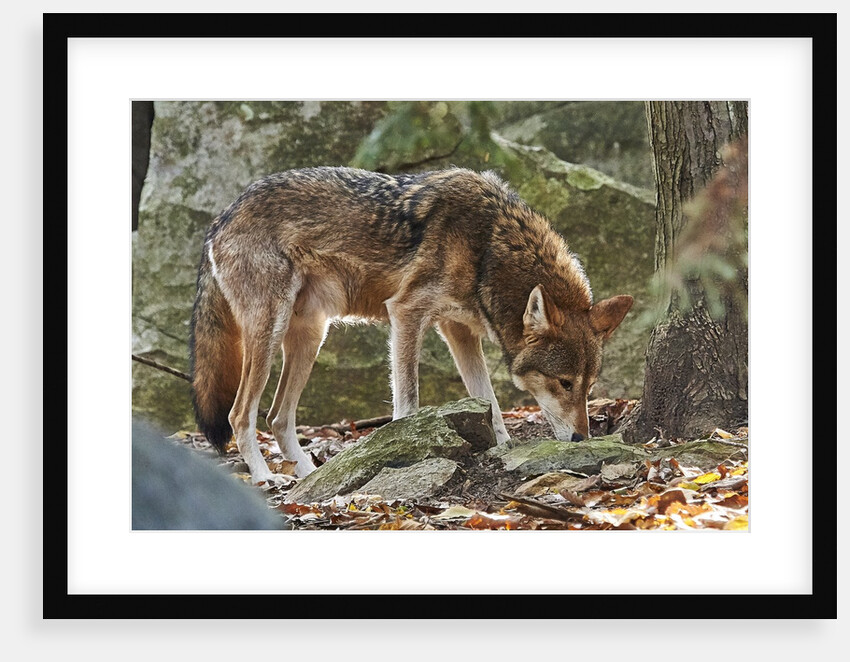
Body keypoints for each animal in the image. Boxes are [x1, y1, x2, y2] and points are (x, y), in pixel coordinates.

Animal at [190, 167, 633, 484]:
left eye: (589, 387)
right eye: (564, 383)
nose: (581, 439)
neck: (488, 247)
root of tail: (220, 219)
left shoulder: (458, 330)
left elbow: (488, 401)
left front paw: (504, 449)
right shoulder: (406, 313)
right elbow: (408, 401)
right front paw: (402, 448)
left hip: (311, 338)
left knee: (278, 418)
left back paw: (310, 475)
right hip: (269, 336)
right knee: (240, 415)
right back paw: (266, 477)